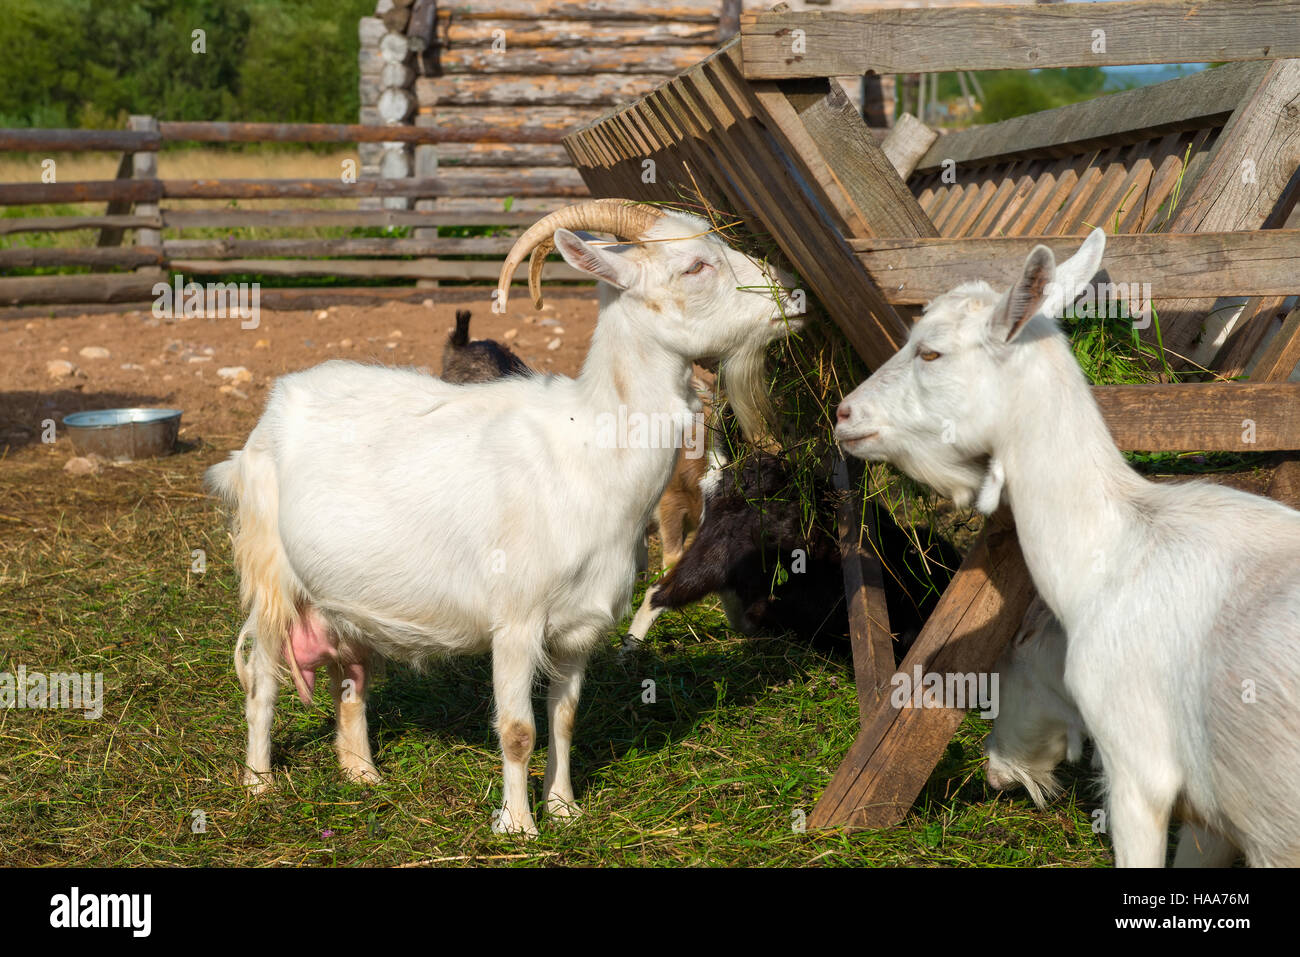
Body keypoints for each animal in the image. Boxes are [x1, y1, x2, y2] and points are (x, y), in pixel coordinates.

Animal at [208, 197, 795, 832]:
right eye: (695, 266)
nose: (792, 294)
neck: (590, 451)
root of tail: (273, 407)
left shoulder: (578, 628)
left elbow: (564, 718)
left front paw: (564, 809)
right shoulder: (515, 622)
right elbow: (517, 730)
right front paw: (518, 826)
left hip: (344, 593)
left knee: (351, 678)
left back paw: (362, 773)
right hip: (271, 570)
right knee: (261, 679)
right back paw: (259, 782)